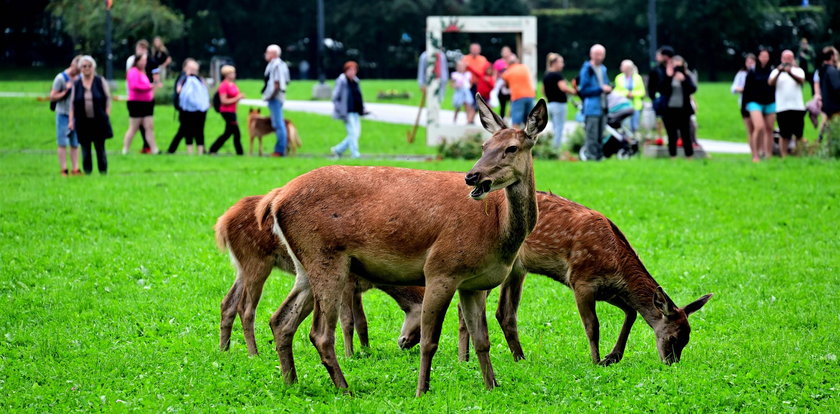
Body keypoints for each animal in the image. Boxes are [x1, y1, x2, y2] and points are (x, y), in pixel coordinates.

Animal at [213, 196, 424, 358]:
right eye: (418, 315)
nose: (404, 343)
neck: (375, 282)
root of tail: (222, 222)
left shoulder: (357, 288)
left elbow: (362, 322)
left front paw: (366, 350)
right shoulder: (348, 282)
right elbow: (347, 321)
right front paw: (349, 354)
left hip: (241, 266)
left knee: (228, 302)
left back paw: (224, 349)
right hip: (256, 261)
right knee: (245, 307)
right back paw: (254, 353)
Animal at [253, 95, 548, 396]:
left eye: (511, 148)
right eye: (484, 146)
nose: (473, 176)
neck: (499, 230)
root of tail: (275, 199)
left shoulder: (474, 284)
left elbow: (482, 340)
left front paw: (491, 386)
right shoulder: (442, 269)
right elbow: (430, 341)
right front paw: (422, 391)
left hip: (304, 265)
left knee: (280, 320)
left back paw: (291, 382)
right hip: (325, 256)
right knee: (320, 334)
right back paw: (345, 389)